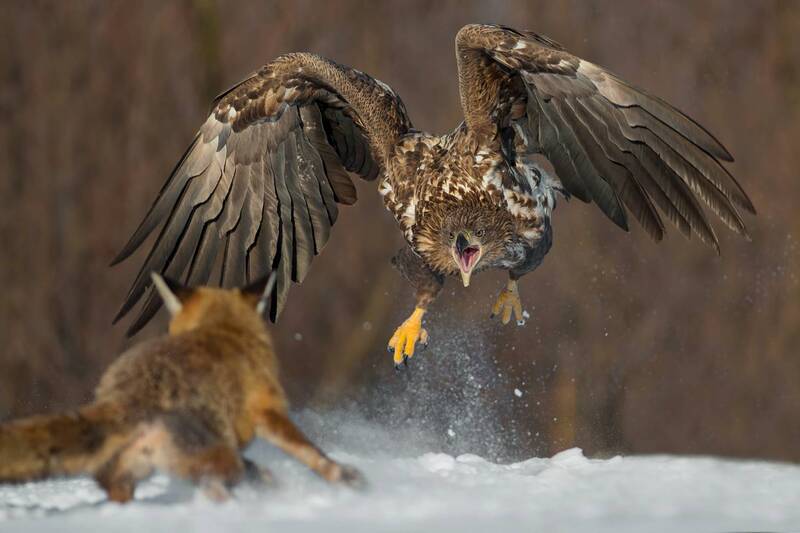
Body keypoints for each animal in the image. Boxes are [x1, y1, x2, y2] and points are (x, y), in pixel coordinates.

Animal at [0, 272, 361, 502]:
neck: (222, 327)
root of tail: (126, 397)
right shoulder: (267, 409)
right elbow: (310, 453)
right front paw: (345, 478)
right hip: (215, 457)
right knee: (216, 485)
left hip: (136, 468)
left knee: (121, 491)